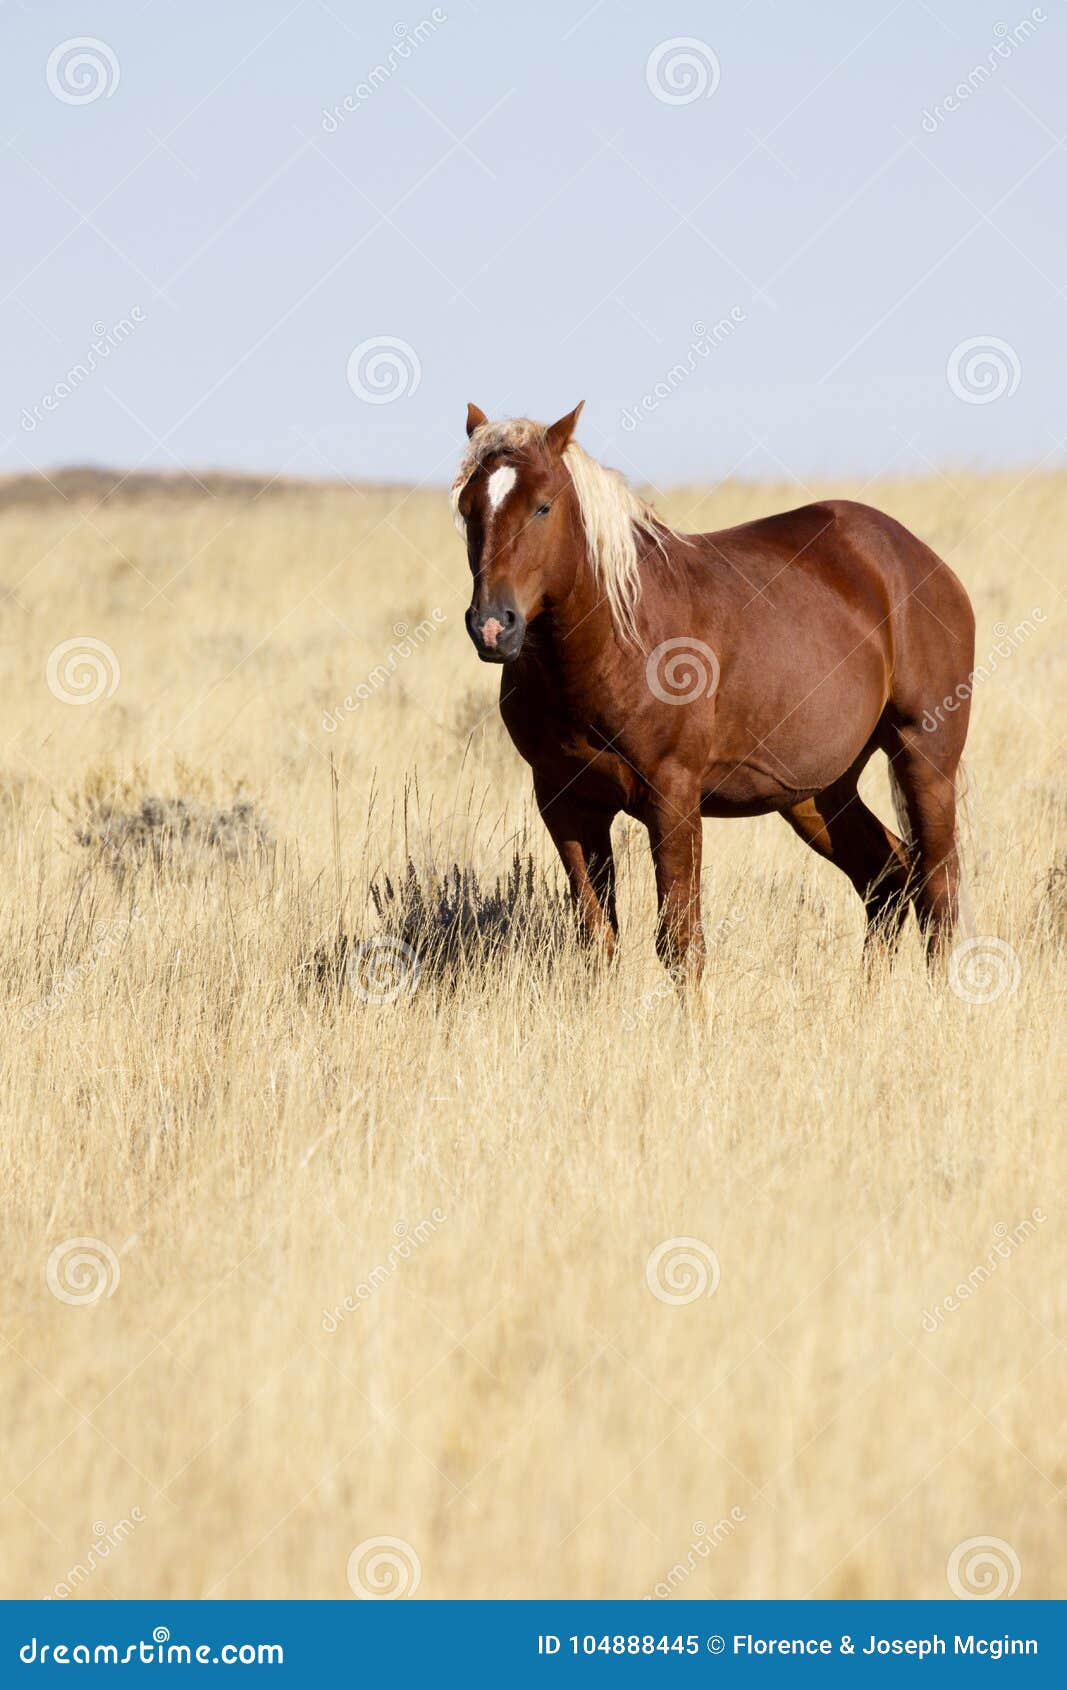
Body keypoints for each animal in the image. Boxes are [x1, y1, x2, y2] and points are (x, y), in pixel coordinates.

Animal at [449, 398, 973, 980]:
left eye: (543, 507)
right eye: (468, 508)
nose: (492, 626)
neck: (616, 641)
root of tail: (923, 560)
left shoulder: (673, 796)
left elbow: (680, 942)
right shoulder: (565, 803)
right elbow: (597, 938)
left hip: (923, 755)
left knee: (938, 886)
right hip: (818, 790)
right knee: (887, 876)